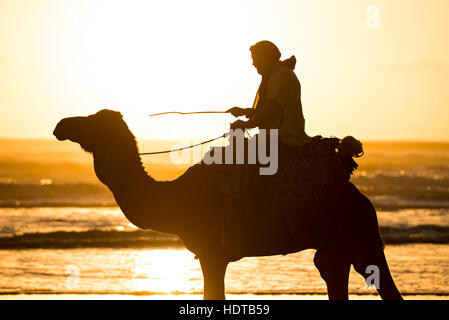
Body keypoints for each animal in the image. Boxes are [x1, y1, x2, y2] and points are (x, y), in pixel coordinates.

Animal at [53, 110, 402, 300]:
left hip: (360, 236)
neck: (175, 198)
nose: (61, 125)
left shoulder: (212, 253)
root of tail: (360, 195)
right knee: (334, 272)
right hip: (335, 245)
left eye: (93, 121)